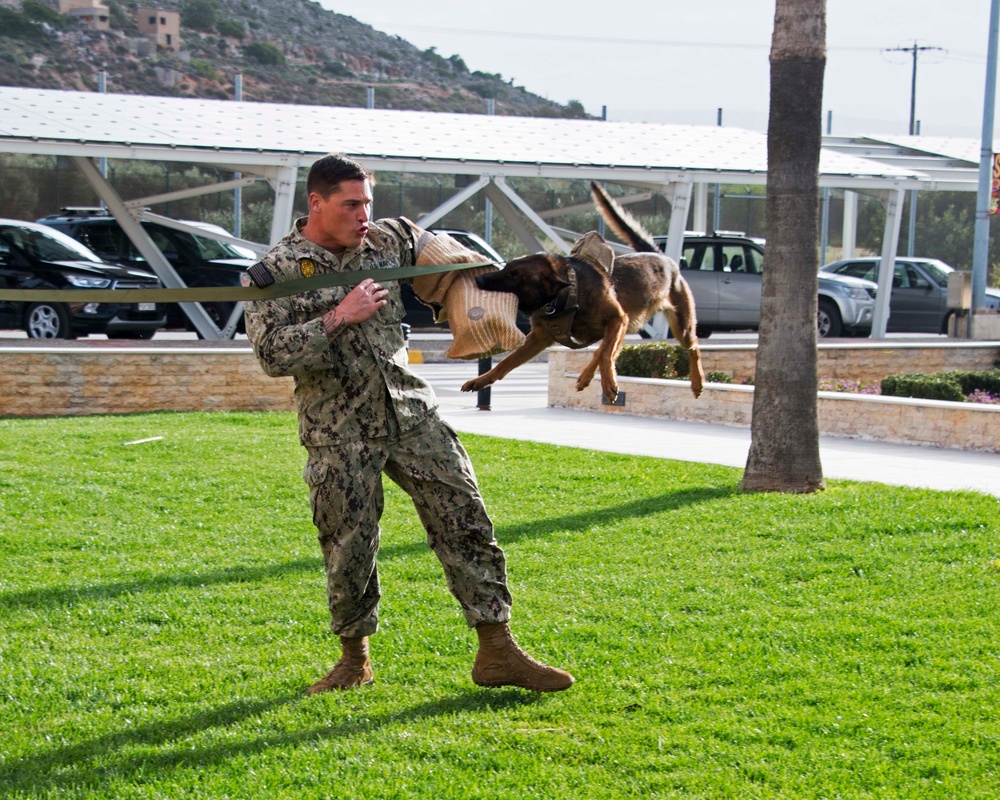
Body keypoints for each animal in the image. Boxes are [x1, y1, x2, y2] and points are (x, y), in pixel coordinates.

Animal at [460, 184, 704, 404]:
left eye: (514, 276)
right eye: (506, 268)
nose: (479, 280)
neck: (564, 297)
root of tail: (663, 257)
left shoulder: (617, 319)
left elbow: (605, 354)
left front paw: (609, 383)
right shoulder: (540, 337)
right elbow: (506, 362)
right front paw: (481, 380)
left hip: (678, 327)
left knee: (693, 347)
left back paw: (697, 381)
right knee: (607, 350)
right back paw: (587, 376)